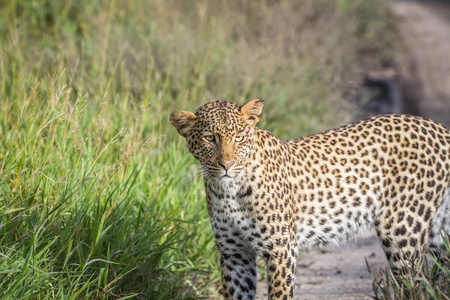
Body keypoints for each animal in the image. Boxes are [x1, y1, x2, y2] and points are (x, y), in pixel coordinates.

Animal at [170, 99, 450, 300]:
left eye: (239, 137)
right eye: (209, 138)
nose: (226, 165)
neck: (228, 192)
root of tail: (438, 127)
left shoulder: (281, 249)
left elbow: (280, 295)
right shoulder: (234, 254)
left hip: (403, 231)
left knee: (416, 284)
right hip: (438, 229)